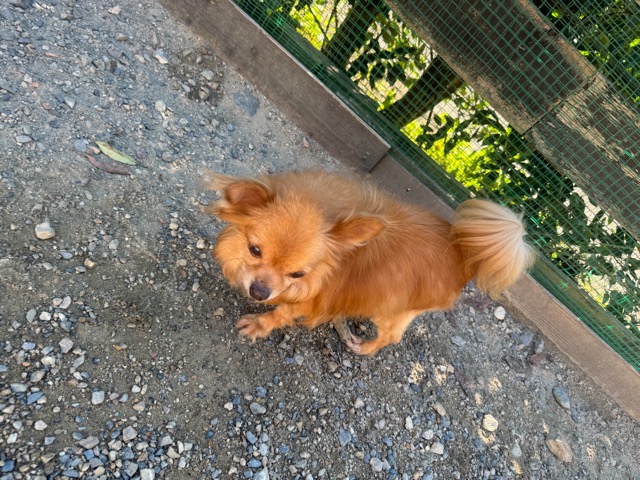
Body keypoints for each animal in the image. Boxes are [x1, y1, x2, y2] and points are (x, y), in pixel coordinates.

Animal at [204, 170, 535, 355]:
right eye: (254, 250)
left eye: (297, 274)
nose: (259, 293)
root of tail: (462, 254)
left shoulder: (310, 299)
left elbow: (282, 312)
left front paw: (260, 324)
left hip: (392, 312)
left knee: (392, 336)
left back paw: (364, 348)